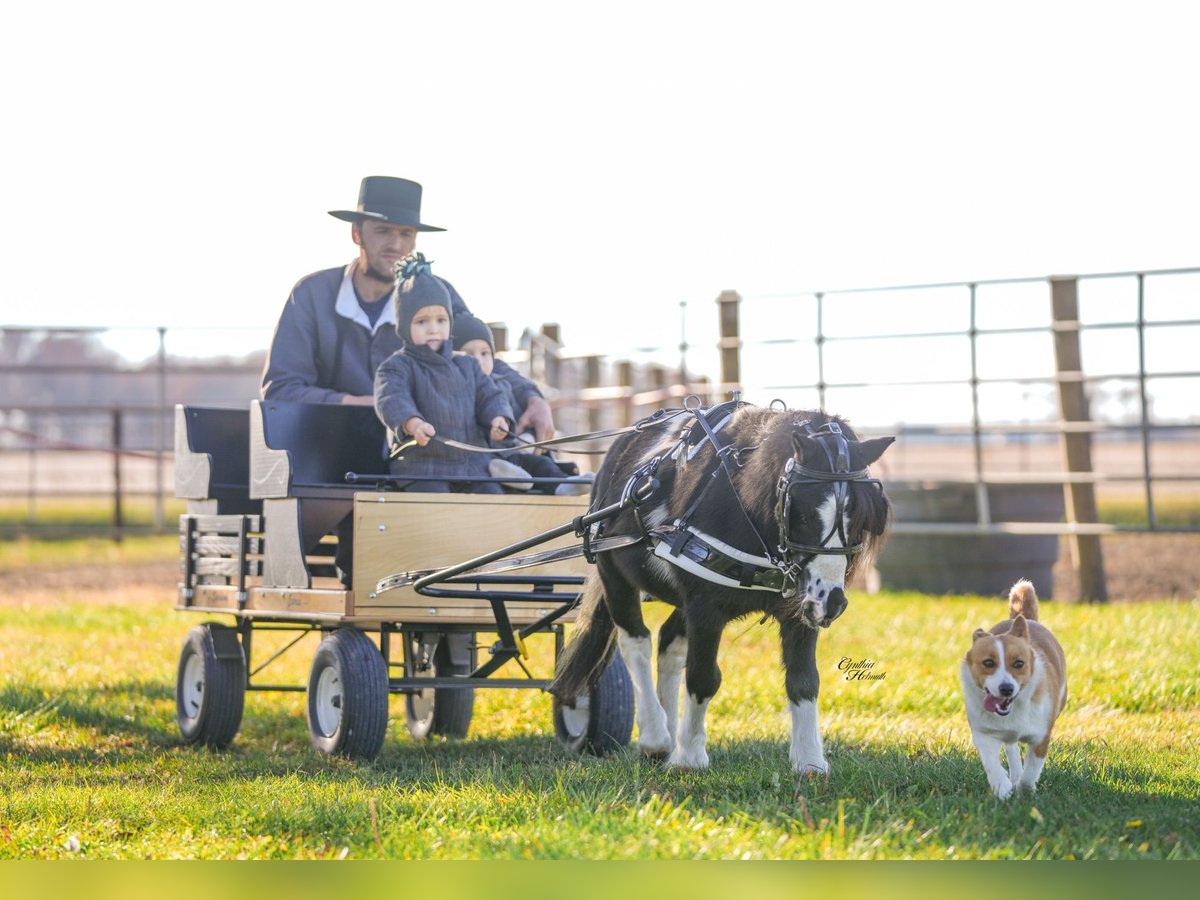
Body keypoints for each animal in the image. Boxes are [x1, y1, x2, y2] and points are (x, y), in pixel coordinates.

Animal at [551, 400, 893, 775]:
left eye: (857, 518)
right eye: (801, 513)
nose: (831, 603)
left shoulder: (797, 612)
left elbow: (804, 680)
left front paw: (809, 761)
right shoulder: (705, 607)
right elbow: (703, 677)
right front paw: (689, 758)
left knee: (669, 644)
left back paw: (670, 731)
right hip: (614, 573)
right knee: (636, 642)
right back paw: (656, 736)